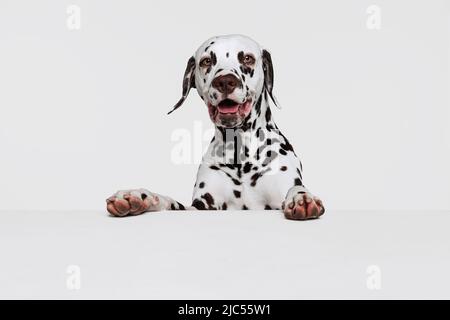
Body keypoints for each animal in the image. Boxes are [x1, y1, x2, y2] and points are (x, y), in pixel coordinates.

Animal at [106, 35, 324, 220]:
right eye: (206, 61)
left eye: (247, 58)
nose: (225, 81)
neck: (241, 156)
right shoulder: (202, 207)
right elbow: (169, 201)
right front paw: (139, 196)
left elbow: (296, 189)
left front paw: (302, 198)